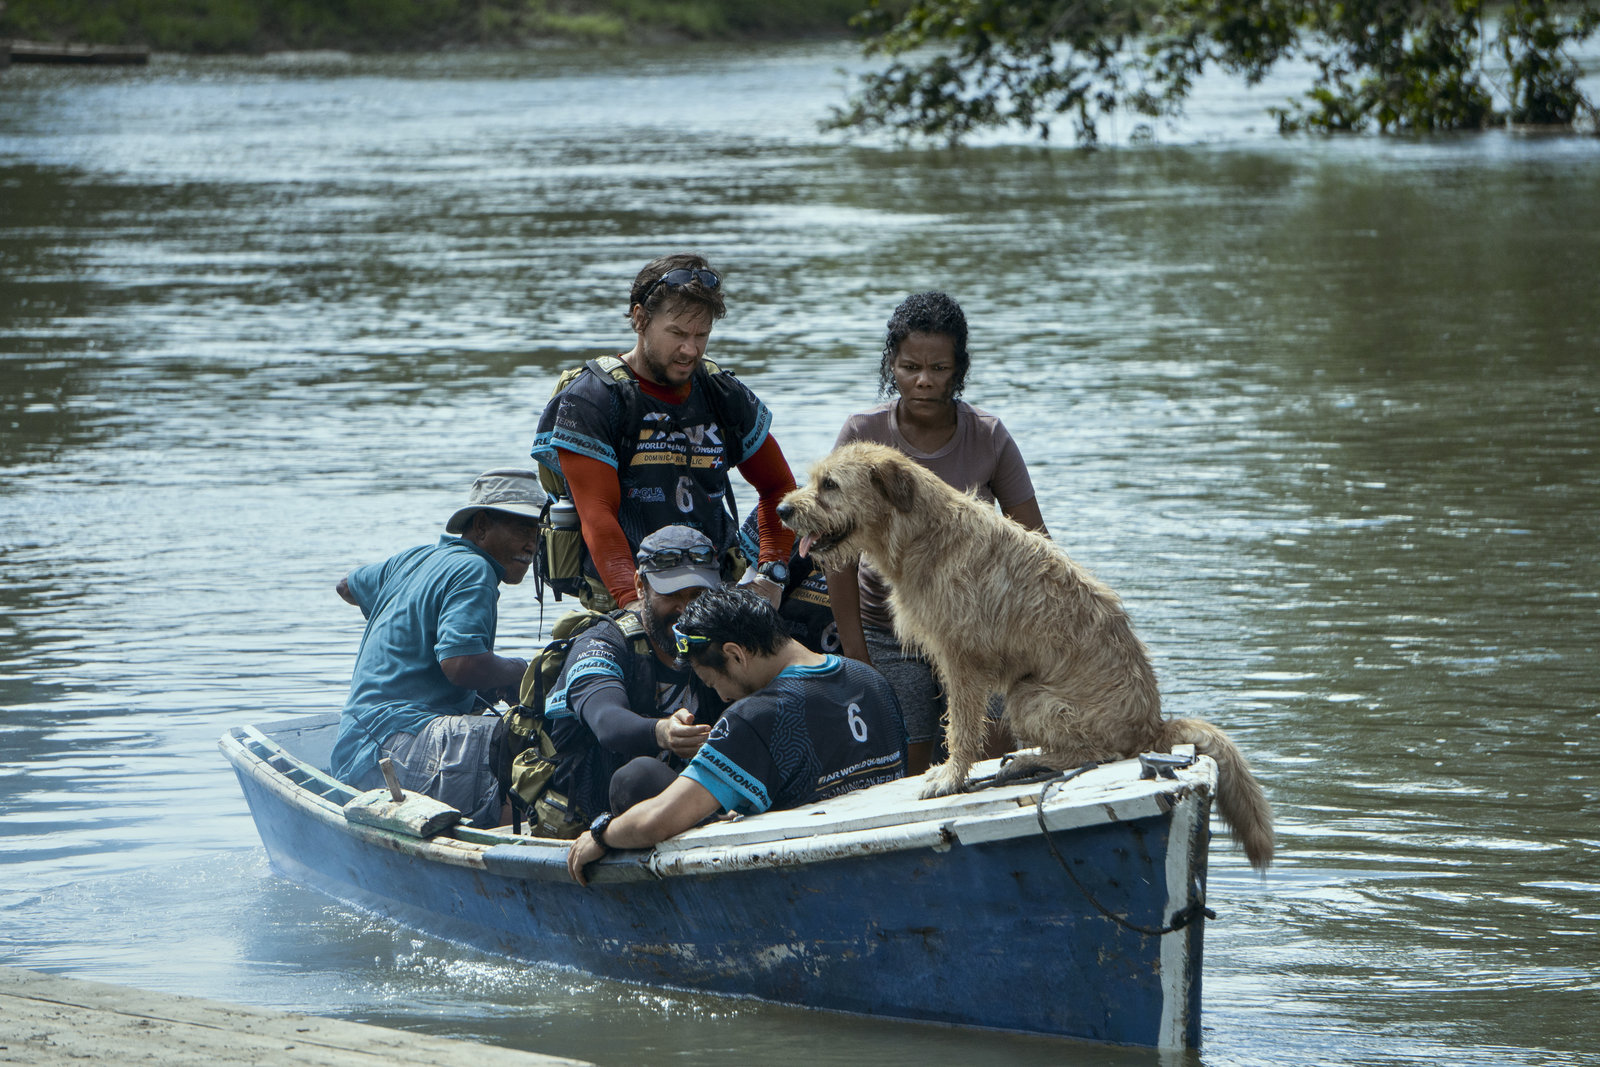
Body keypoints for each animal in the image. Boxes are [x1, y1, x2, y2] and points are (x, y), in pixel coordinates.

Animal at [777, 441, 1273, 870]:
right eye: (814, 479)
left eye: (830, 485)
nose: (782, 510)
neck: (923, 533)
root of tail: (1155, 725)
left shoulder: (962, 658)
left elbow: (961, 727)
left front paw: (950, 778)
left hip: (1028, 696)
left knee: (1096, 753)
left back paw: (1031, 761)